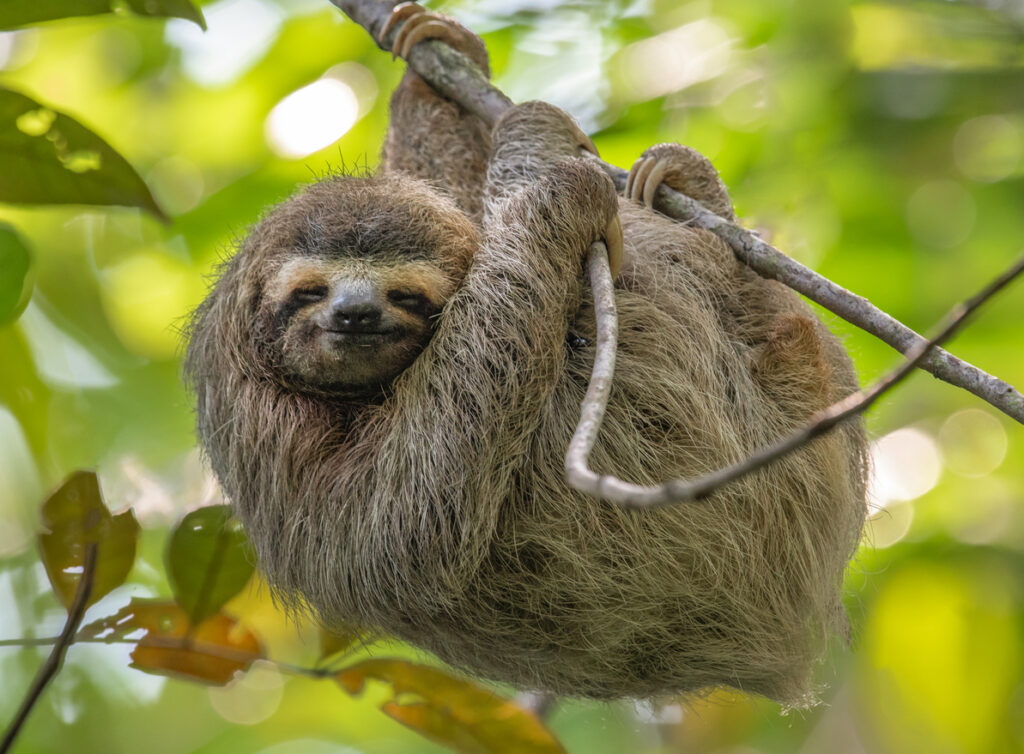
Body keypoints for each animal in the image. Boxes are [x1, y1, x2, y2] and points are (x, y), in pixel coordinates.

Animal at [184, 4, 867, 705]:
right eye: (309, 290)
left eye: (405, 294)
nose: (355, 313)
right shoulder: (259, 421)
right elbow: (395, 527)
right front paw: (553, 180)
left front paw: (437, 62)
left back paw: (685, 180)